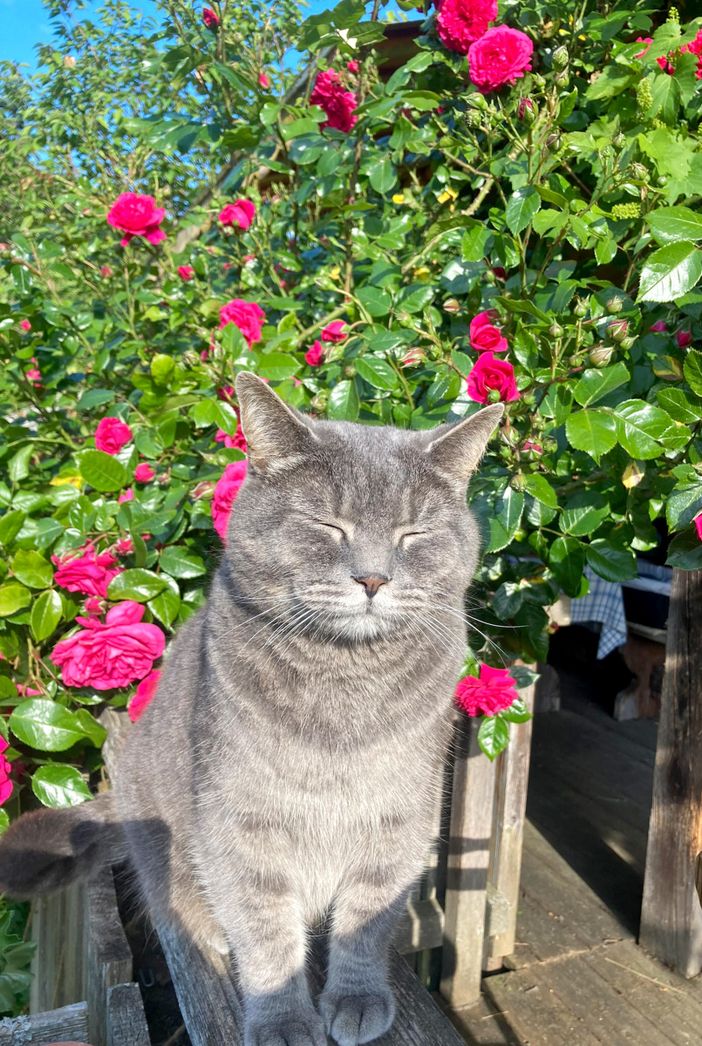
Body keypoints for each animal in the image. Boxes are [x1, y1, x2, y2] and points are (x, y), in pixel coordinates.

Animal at [1, 374, 506, 1046]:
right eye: (327, 525)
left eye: (413, 535)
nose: (373, 578)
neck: (344, 689)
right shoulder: (241, 821)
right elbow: (265, 929)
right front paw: (284, 1019)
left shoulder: (399, 816)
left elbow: (367, 919)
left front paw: (356, 998)